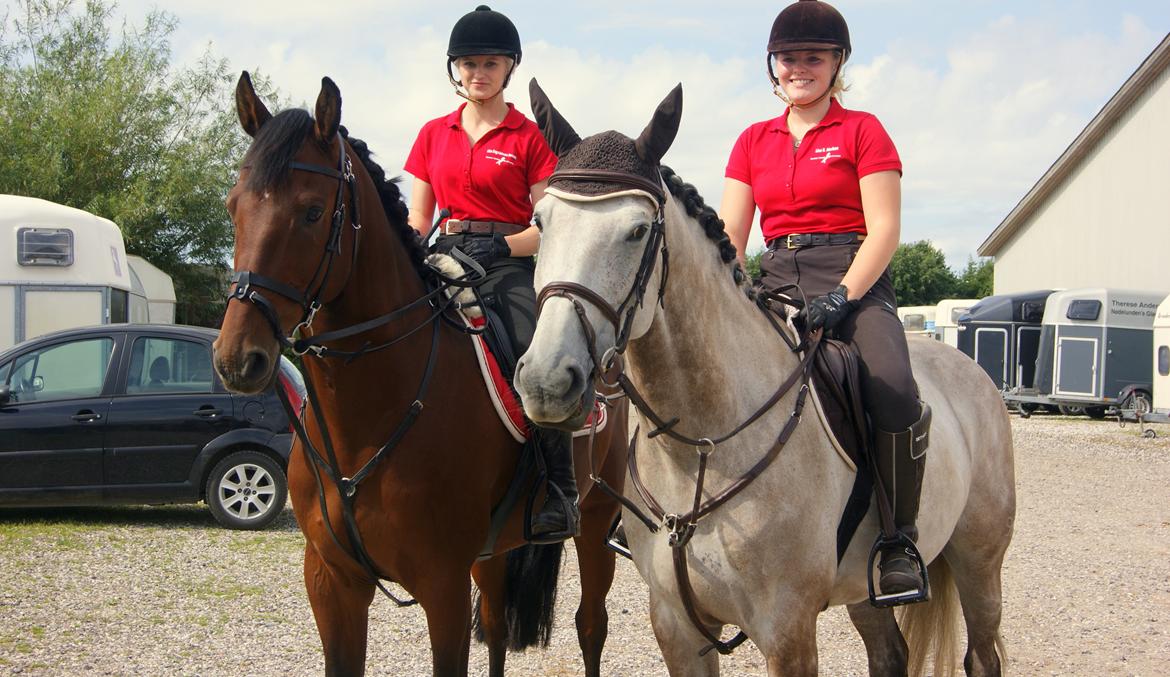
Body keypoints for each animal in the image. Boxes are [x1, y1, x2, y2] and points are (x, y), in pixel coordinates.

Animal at [212, 72, 628, 677]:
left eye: (312, 212)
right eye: (233, 206)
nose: (237, 359)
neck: (366, 425)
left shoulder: (443, 587)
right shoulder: (332, 583)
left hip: (597, 520)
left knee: (590, 625)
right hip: (494, 552)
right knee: (497, 627)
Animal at [513, 79, 1016, 677]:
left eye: (636, 231)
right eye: (540, 222)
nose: (546, 382)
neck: (701, 448)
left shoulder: (787, 631)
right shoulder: (678, 629)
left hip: (979, 562)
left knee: (981, 653)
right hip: (863, 588)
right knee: (890, 653)